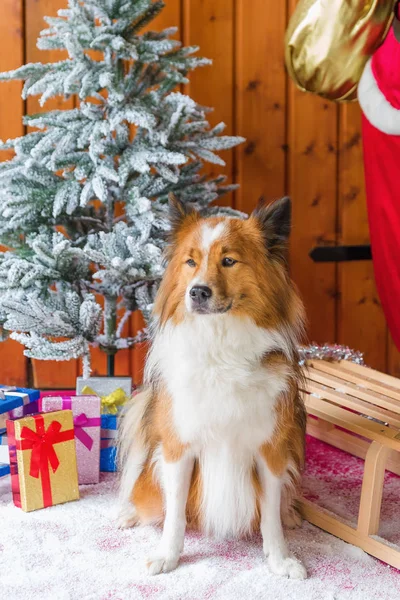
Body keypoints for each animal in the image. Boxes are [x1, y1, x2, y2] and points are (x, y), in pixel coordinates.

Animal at [117, 195, 308, 580]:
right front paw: (168, 556)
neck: (221, 350)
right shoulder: (178, 448)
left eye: (229, 261)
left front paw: (280, 559)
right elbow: (174, 513)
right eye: (190, 262)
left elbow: (270, 516)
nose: (198, 292)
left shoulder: (271, 448)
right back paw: (130, 513)